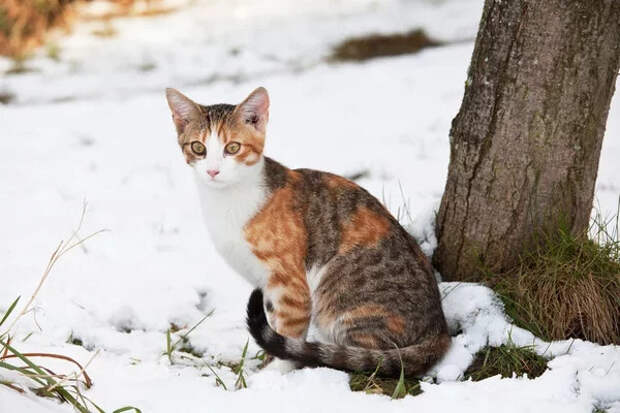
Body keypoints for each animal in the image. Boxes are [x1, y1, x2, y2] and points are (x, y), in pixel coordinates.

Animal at [165, 87, 450, 376]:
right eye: (198, 147)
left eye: (232, 147)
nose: (213, 171)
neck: (228, 201)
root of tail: (440, 328)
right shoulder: (268, 289)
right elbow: (274, 324)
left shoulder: (290, 284)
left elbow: (289, 332)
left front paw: (274, 372)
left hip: (341, 298)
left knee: (369, 358)